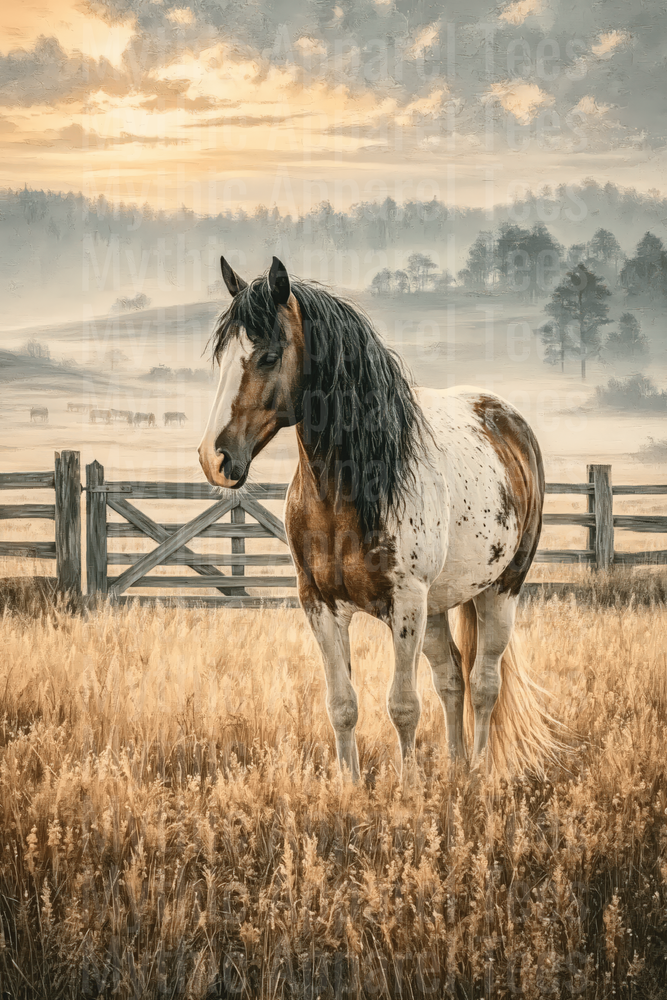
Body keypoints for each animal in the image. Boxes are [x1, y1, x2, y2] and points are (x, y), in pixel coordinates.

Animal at [198, 256, 552, 779]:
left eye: (268, 357)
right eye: (223, 357)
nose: (214, 459)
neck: (346, 492)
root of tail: (507, 420)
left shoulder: (405, 604)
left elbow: (403, 706)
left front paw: (408, 788)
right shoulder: (319, 603)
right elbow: (342, 705)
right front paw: (350, 784)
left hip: (500, 590)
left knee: (485, 682)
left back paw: (478, 770)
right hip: (439, 604)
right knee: (452, 677)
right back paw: (454, 767)